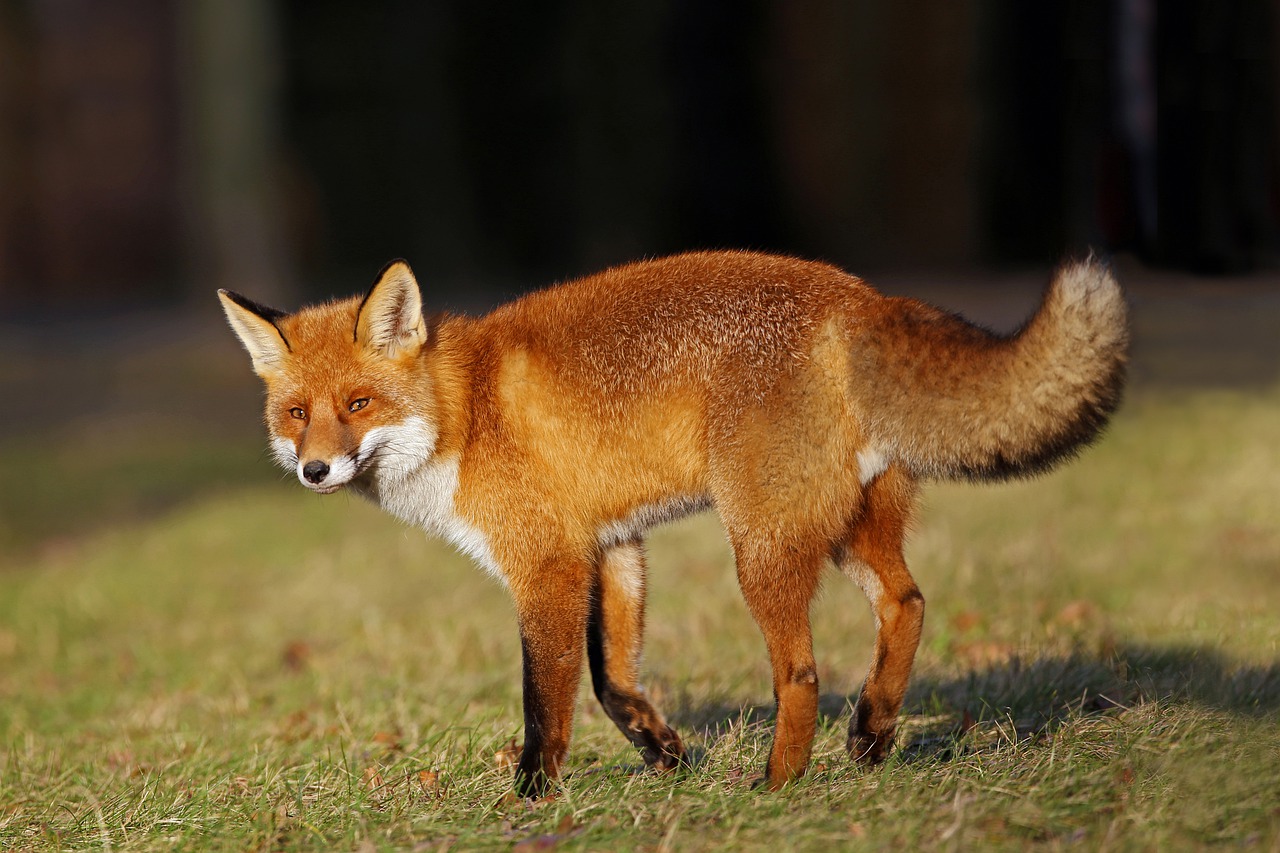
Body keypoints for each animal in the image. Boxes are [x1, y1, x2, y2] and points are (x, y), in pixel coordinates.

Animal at [220, 249, 1131, 794]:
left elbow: (545, 700)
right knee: (906, 604)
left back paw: (777, 785)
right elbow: (612, 680)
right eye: (298, 413)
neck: (465, 413)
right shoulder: (613, 545)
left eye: (358, 404)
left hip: (760, 546)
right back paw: (870, 737)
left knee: (801, 674)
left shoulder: (547, 563)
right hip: (843, 528)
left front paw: (532, 798)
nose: (314, 469)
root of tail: (857, 295)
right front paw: (667, 753)